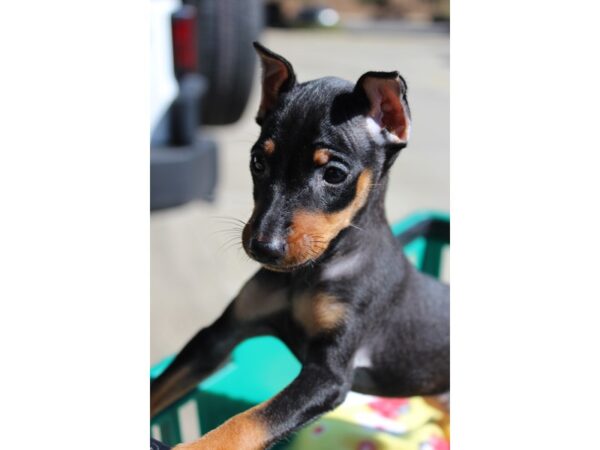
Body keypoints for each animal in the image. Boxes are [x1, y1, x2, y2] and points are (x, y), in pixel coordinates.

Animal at [151, 43, 450, 450]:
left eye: (334, 174)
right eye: (257, 162)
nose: (263, 248)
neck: (312, 271)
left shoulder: (328, 376)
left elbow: (249, 421)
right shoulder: (217, 336)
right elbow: (162, 386)